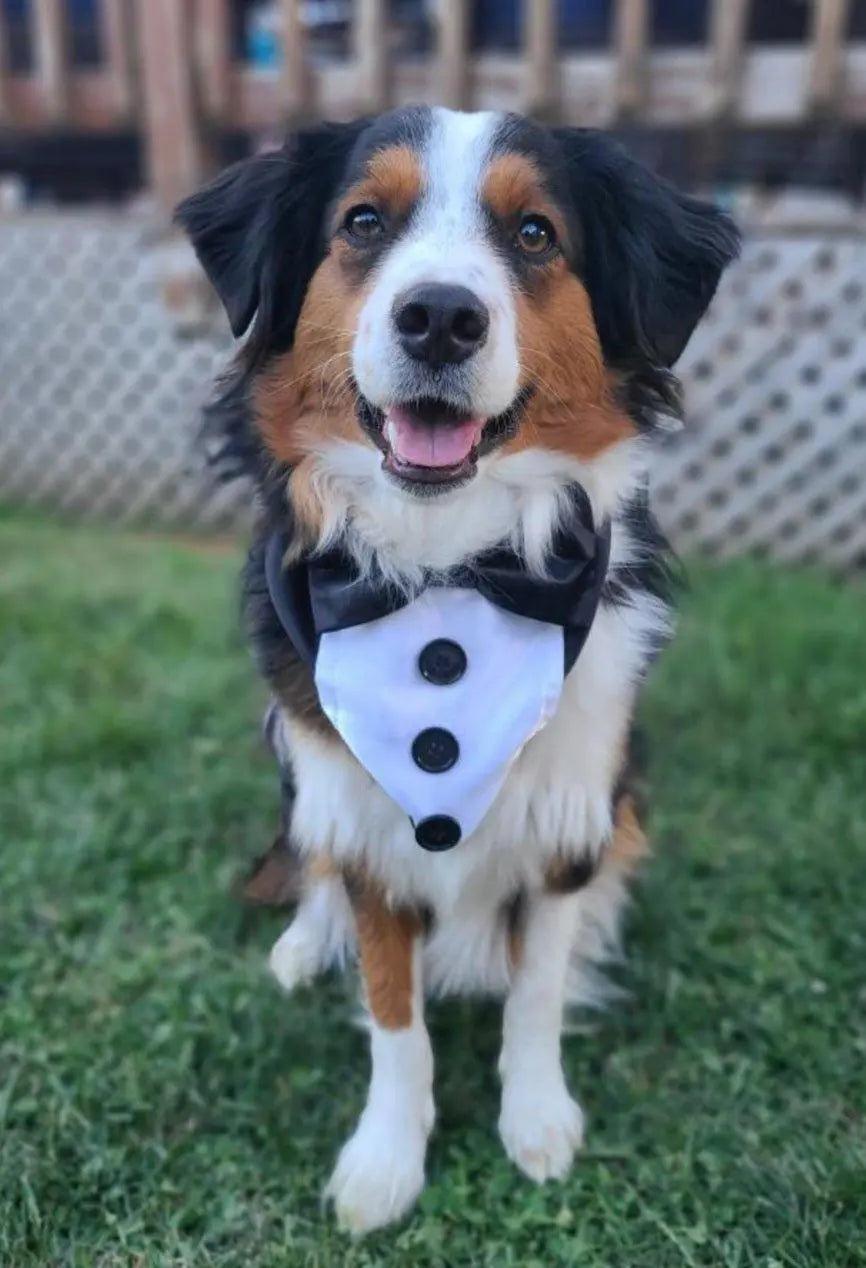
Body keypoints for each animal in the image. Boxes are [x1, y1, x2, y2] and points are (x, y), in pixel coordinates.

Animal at [176, 103, 740, 1232]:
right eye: (361, 221)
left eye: (533, 234)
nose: (439, 317)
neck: (448, 573)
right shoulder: (363, 822)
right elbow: (394, 1013)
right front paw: (385, 1160)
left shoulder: (570, 816)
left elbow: (535, 992)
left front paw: (537, 1119)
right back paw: (304, 943)